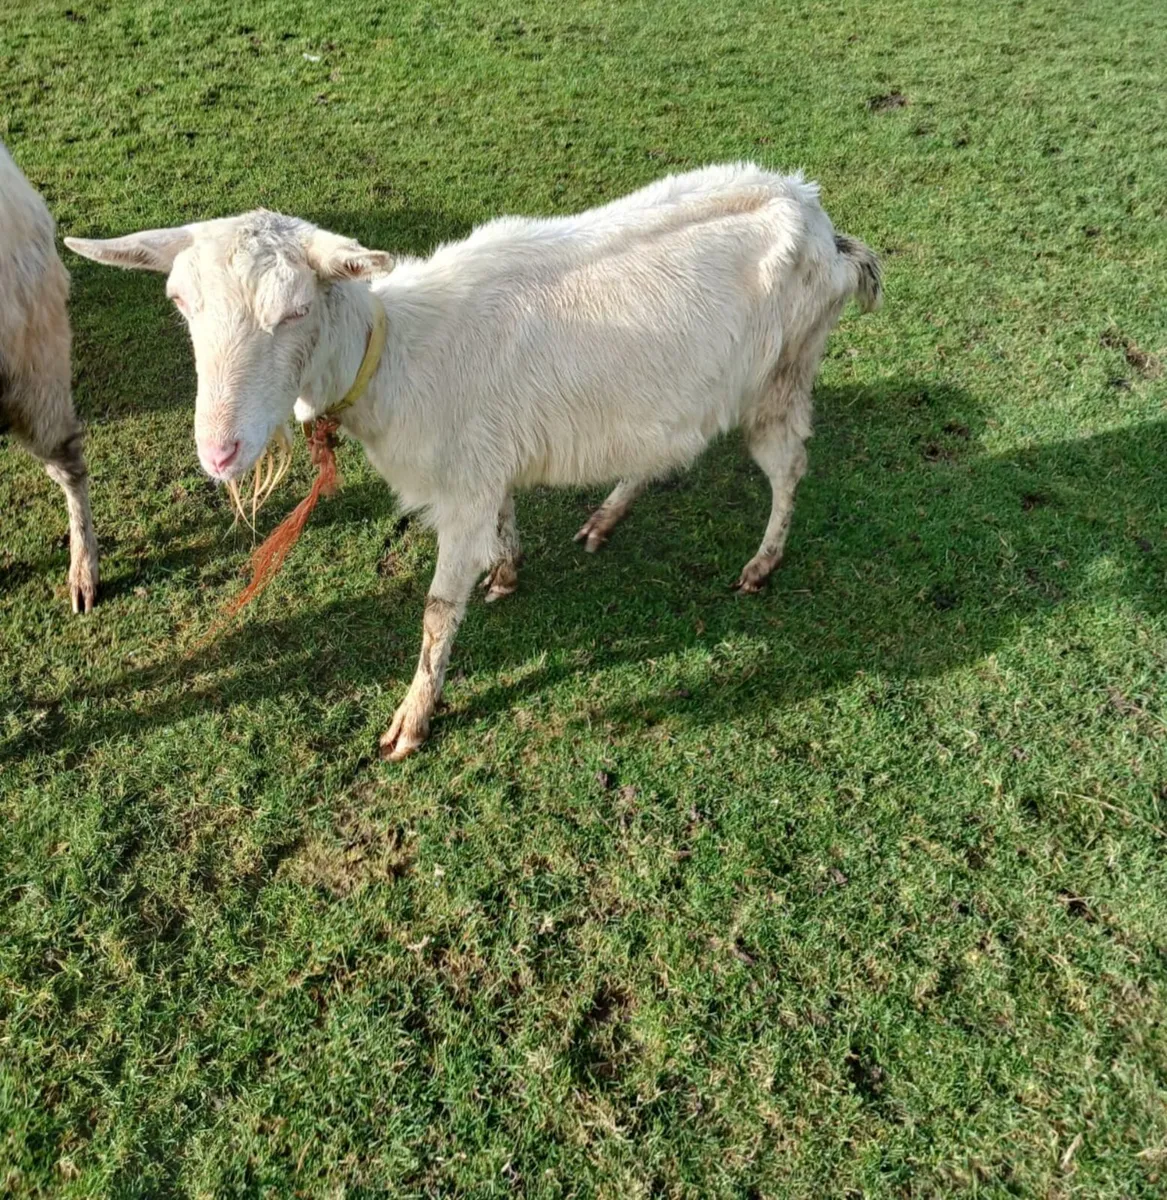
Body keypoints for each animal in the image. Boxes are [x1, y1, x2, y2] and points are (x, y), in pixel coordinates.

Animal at [65, 162, 881, 756]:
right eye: (179, 301)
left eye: (296, 308)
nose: (220, 450)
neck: (397, 355)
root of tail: (822, 222)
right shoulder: (487, 461)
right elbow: (505, 515)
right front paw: (509, 570)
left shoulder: (460, 488)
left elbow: (435, 610)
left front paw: (410, 723)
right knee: (662, 448)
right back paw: (605, 519)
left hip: (785, 371)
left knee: (787, 467)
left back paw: (761, 564)